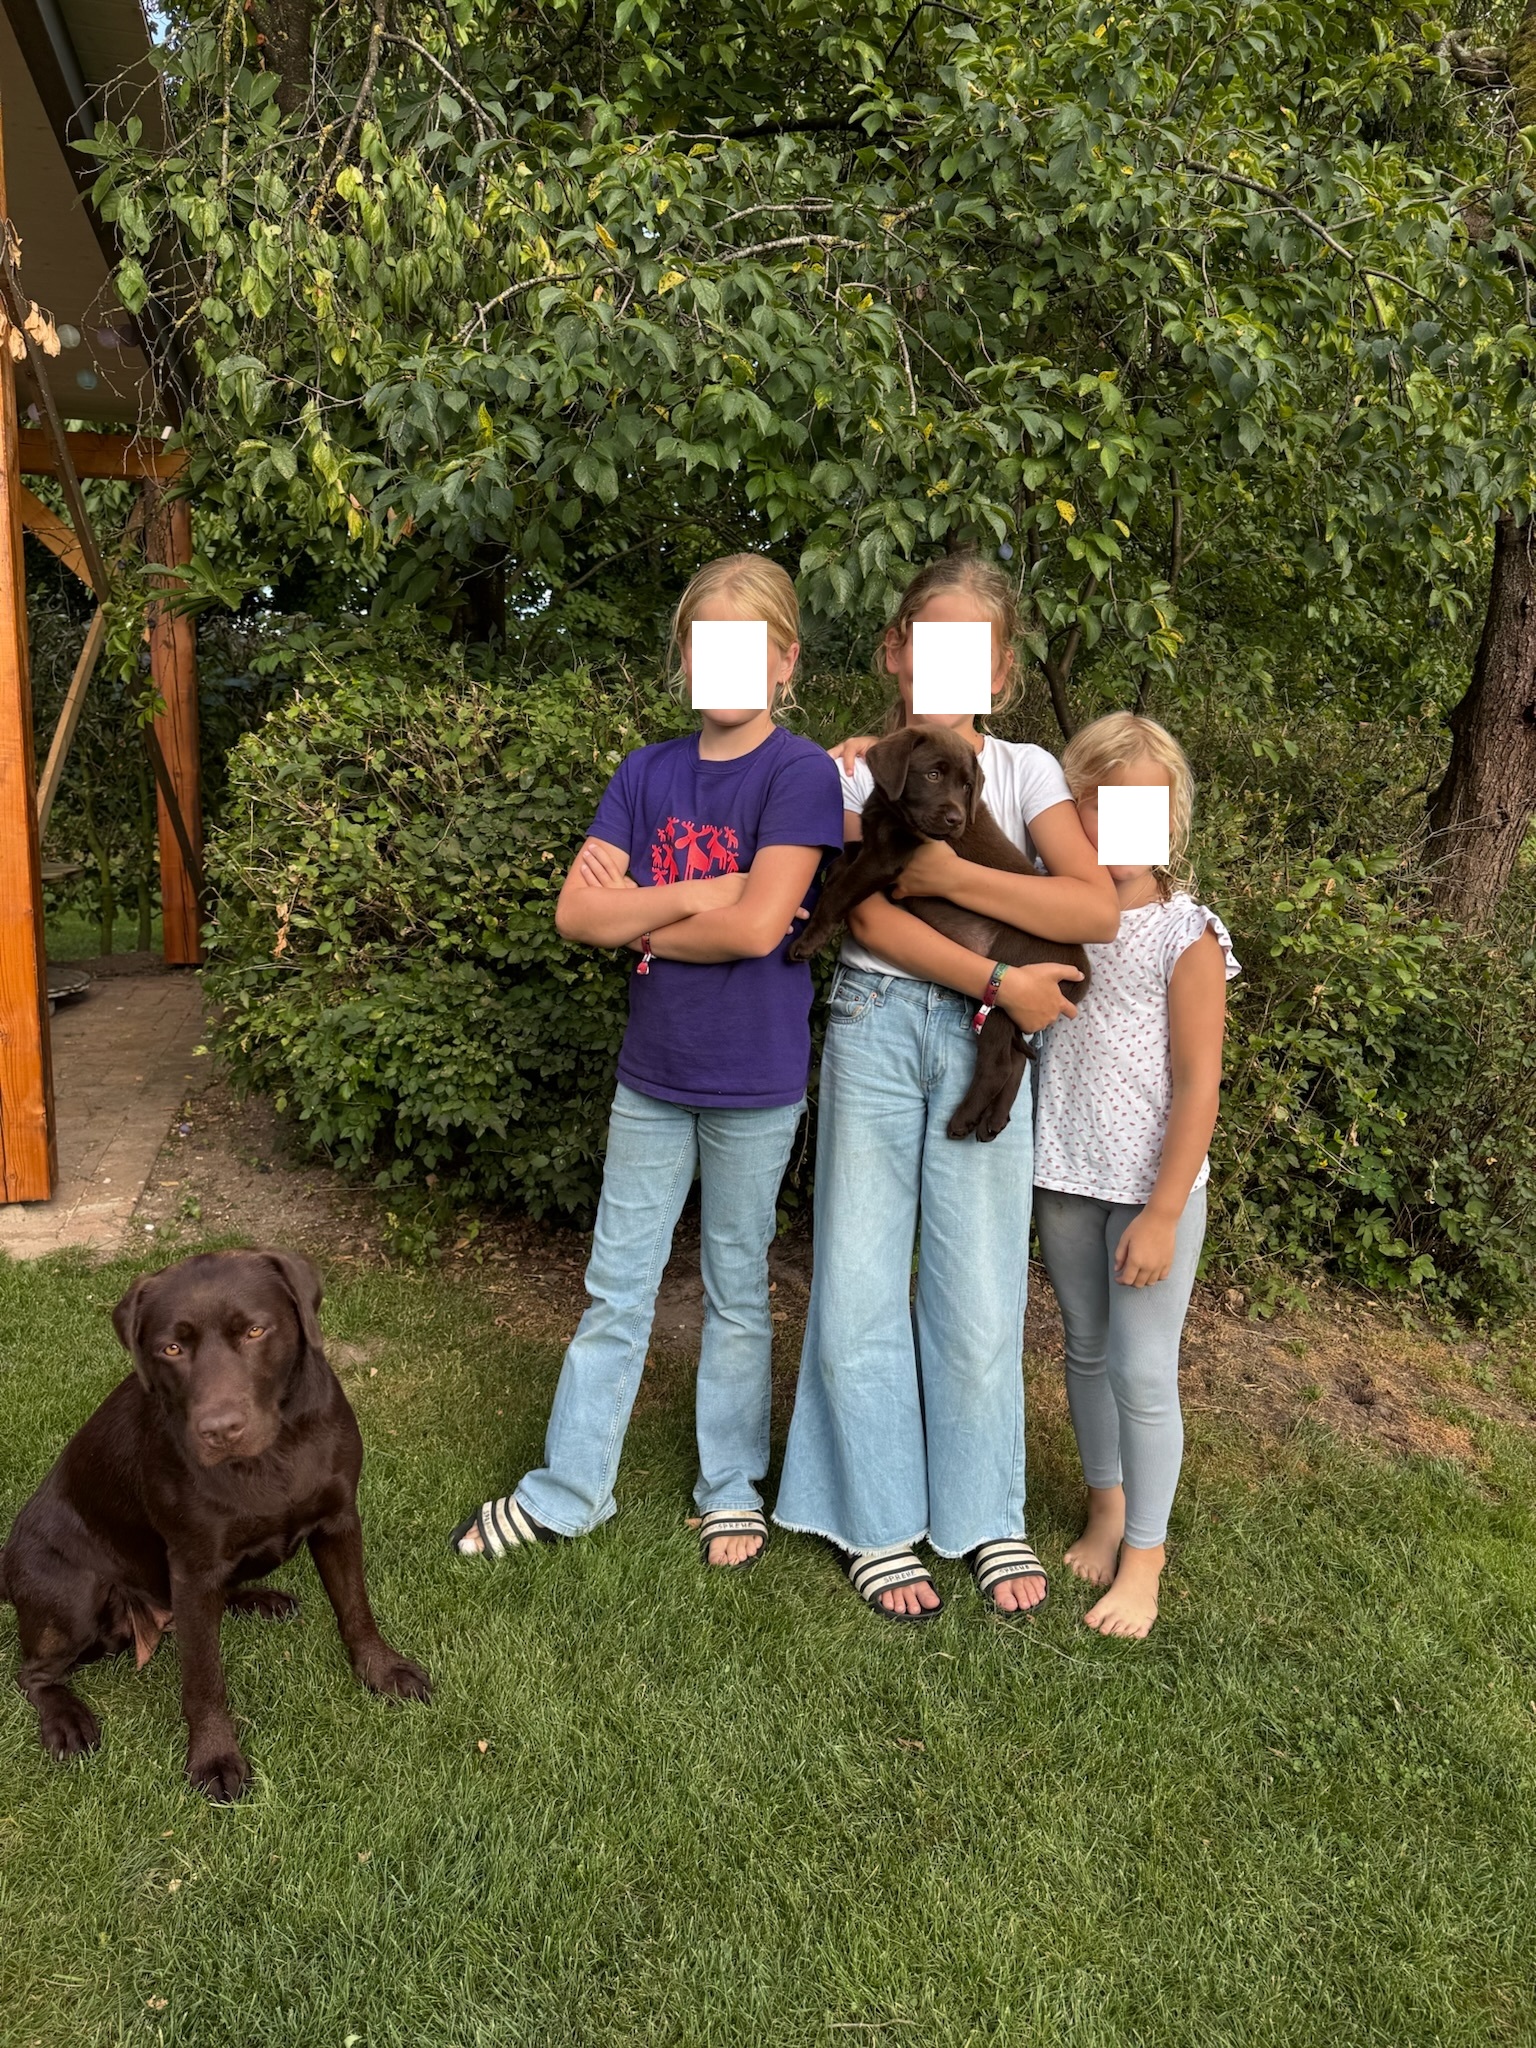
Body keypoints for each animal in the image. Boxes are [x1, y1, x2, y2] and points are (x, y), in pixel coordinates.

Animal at [0, 1249, 430, 1801]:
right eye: (172, 1347)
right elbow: (204, 1678)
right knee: (32, 1675)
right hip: (72, 1596)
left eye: (254, 1331)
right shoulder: (194, 1563)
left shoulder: (338, 1520)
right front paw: (214, 1757)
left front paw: (382, 1671)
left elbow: (356, 1609)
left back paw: (260, 1600)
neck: (273, 1453)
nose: (220, 1430)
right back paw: (67, 1721)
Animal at [790, 726, 1091, 1140]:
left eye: (967, 786)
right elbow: (847, 852)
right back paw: (993, 1121)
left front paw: (807, 940)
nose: (955, 820)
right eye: (932, 775)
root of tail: (1082, 970)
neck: (893, 811)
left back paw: (963, 1119)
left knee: (998, 1062)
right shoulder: (873, 844)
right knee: (1015, 1060)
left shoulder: (884, 860)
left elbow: (839, 893)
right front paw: (831, 869)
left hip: (1011, 986)